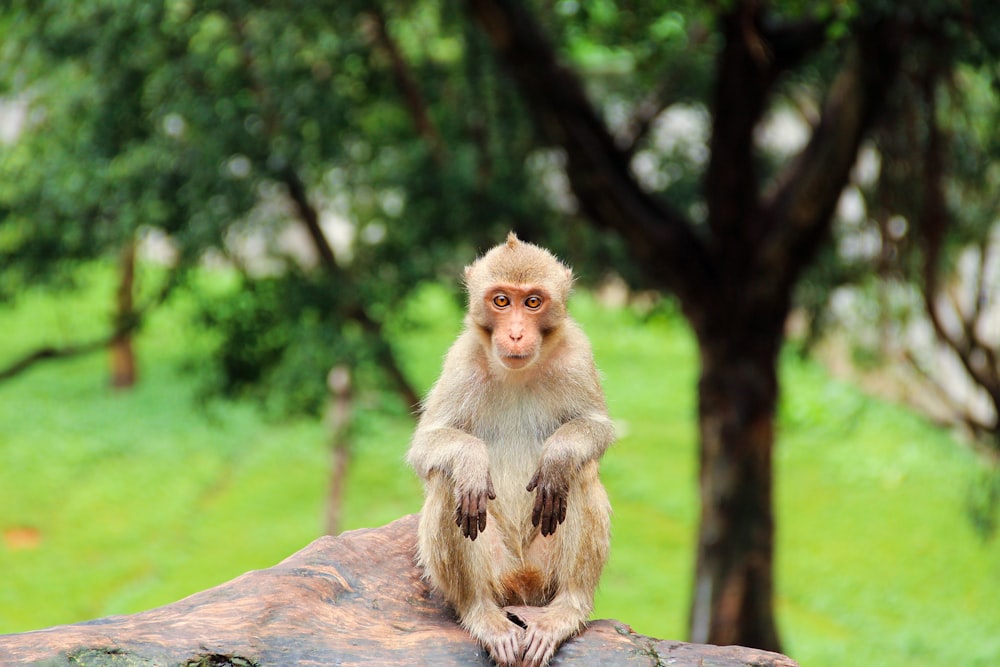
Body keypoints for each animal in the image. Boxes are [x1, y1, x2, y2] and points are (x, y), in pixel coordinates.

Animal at [408, 234, 616, 667]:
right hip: (497, 570)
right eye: (502, 301)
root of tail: (523, 586)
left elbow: (597, 431)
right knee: (447, 482)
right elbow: (425, 449)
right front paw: (471, 460)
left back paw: (566, 609)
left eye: (532, 302)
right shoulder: (461, 360)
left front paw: (558, 455)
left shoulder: (578, 353)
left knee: (582, 472)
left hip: (544, 570)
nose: (517, 334)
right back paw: (480, 613)